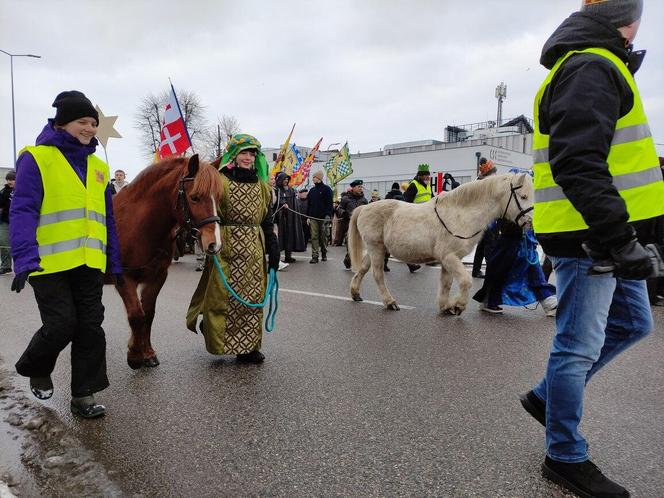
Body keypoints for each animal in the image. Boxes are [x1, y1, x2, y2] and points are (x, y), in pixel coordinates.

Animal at [110, 156, 222, 370]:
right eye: (195, 197)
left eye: (219, 198)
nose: (214, 244)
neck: (137, 226)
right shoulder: (124, 278)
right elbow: (136, 316)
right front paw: (134, 355)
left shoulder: (157, 277)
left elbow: (148, 314)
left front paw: (147, 352)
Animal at [348, 175, 536, 314]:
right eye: (523, 196)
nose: (530, 223)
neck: (461, 215)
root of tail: (364, 208)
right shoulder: (449, 257)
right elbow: (466, 281)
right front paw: (458, 305)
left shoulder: (449, 260)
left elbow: (446, 283)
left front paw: (445, 306)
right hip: (376, 248)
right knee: (377, 275)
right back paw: (389, 302)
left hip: (376, 249)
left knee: (363, 269)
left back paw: (355, 293)